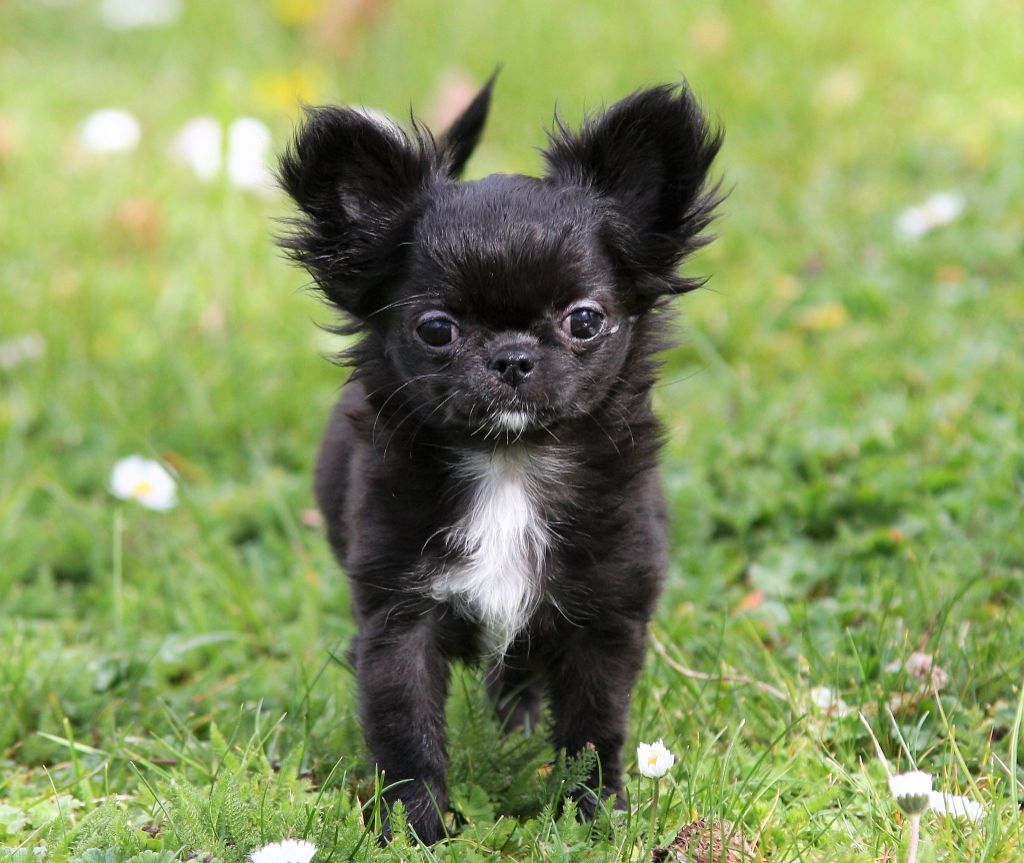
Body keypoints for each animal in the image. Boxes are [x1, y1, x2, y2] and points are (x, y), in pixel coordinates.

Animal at [278, 75, 720, 843]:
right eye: (435, 329)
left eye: (585, 320)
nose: (512, 357)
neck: (510, 462)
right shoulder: (398, 620)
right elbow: (406, 733)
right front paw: (415, 832)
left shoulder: (603, 616)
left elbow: (592, 730)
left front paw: (594, 819)